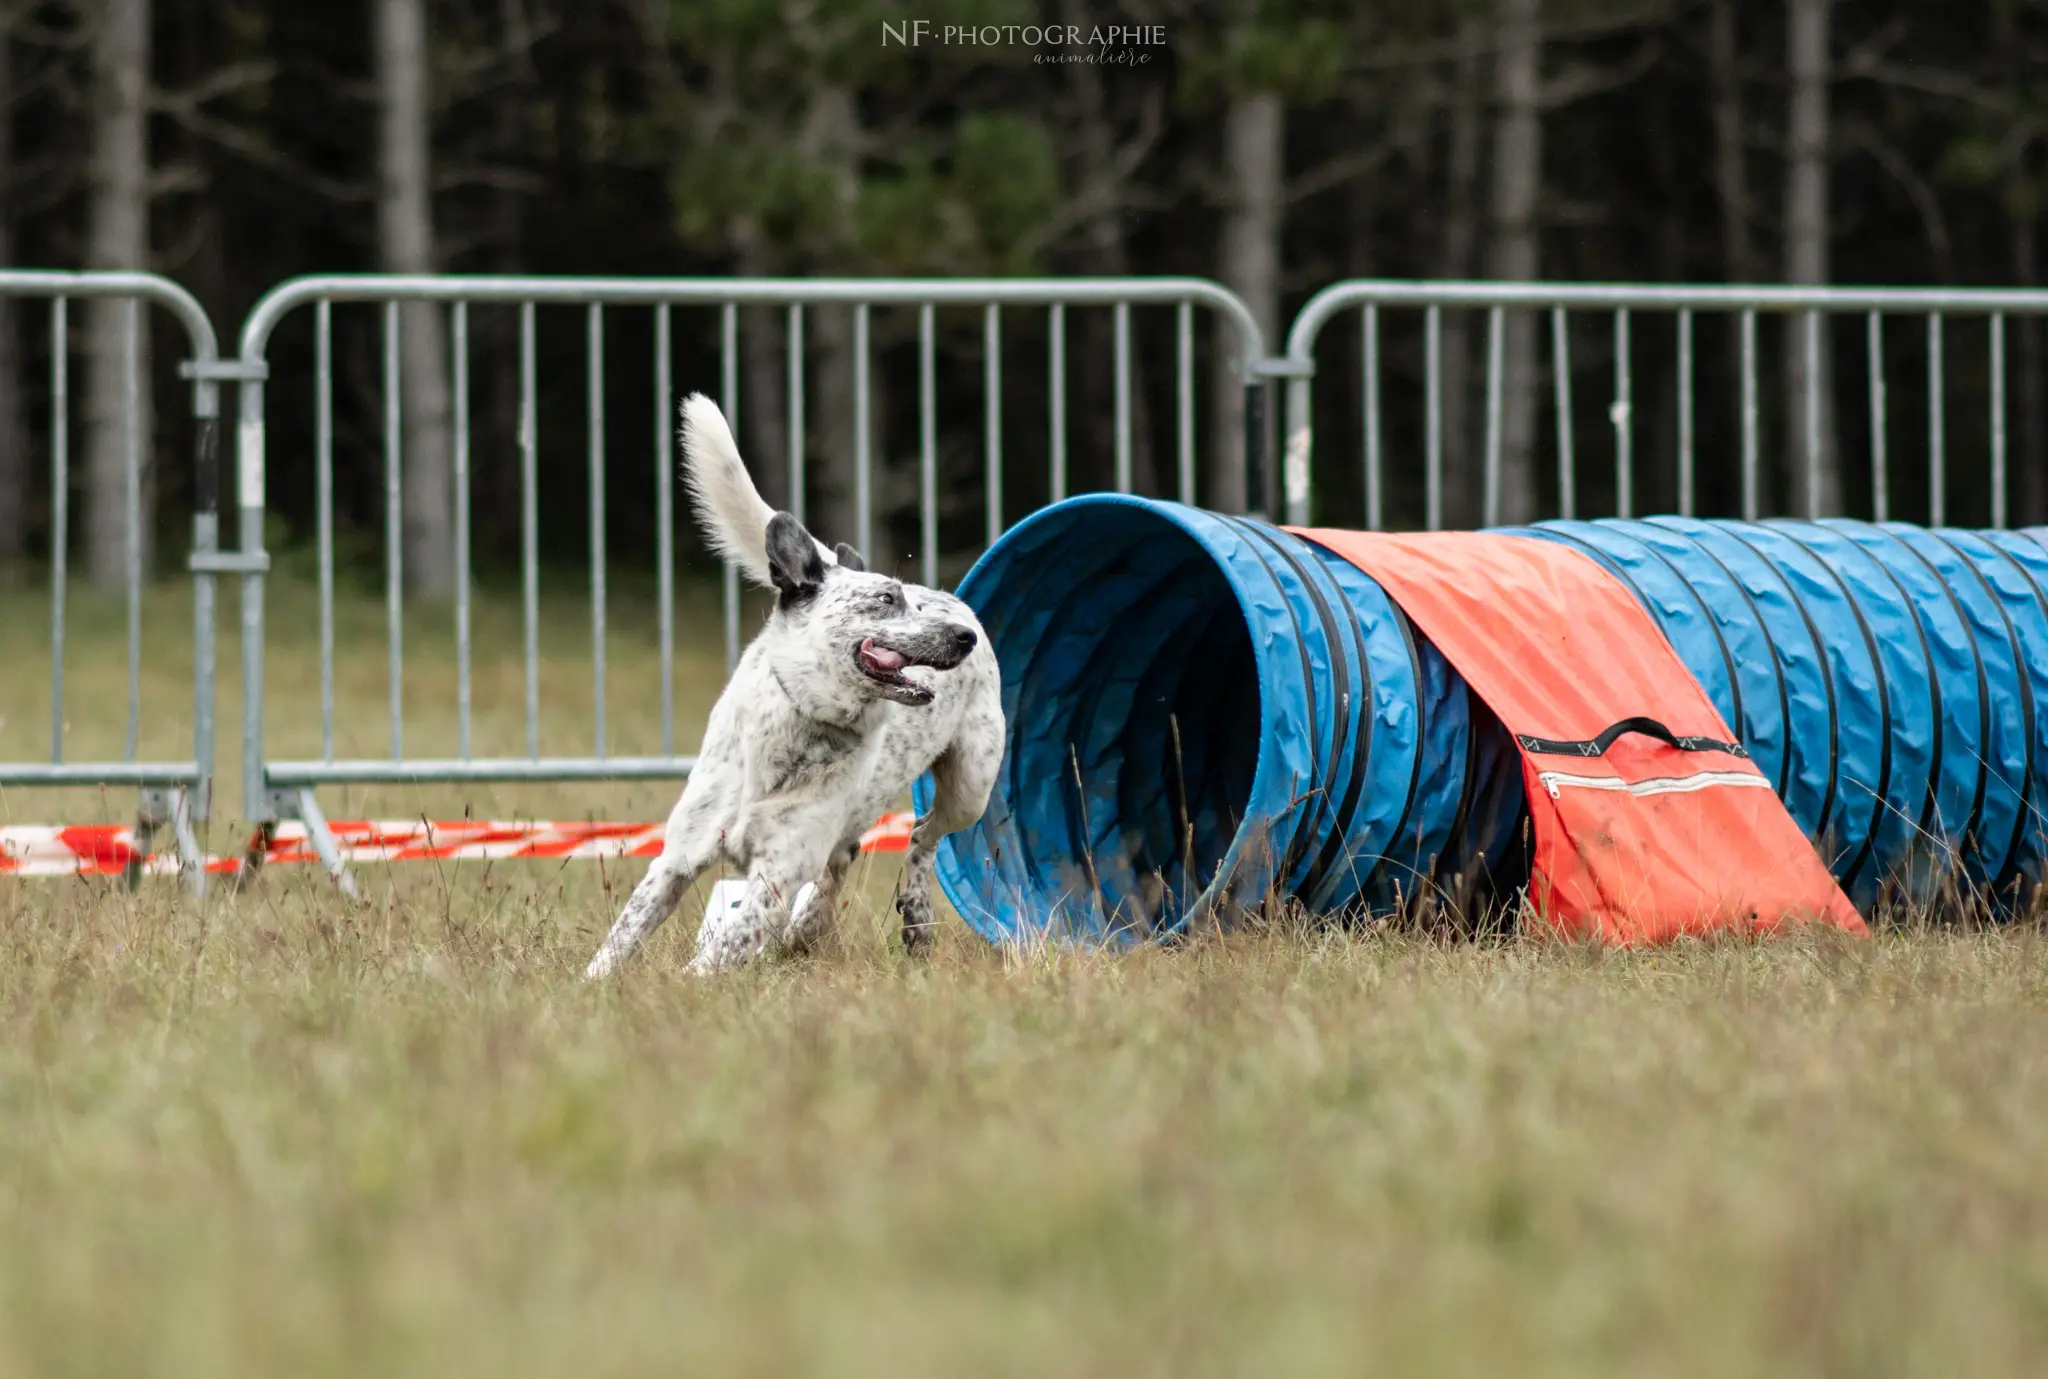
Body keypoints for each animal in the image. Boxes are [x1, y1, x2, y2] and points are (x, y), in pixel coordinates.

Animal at [581, 387, 1003, 975]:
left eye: (909, 602)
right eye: (887, 598)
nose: (966, 636)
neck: (800, 726)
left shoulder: (776, 875)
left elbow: (720, 948)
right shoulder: (677, 858)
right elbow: (622, 936)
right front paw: (591, 982)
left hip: (972, 785)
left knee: (921, 837)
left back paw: (912, 918)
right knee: (849, 858)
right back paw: (811, 927)